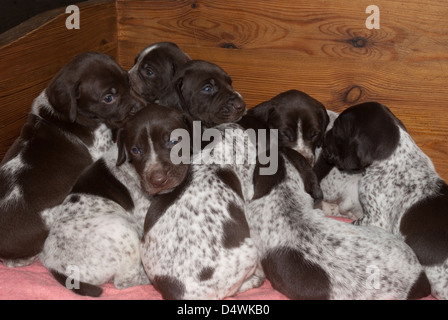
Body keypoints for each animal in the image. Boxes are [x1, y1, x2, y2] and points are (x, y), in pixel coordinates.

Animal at [39, 105, 191, 298]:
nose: (158, 180)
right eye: (136, 150)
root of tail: (52, 266)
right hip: (123, 230)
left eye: (173, 142)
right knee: (124, 281)